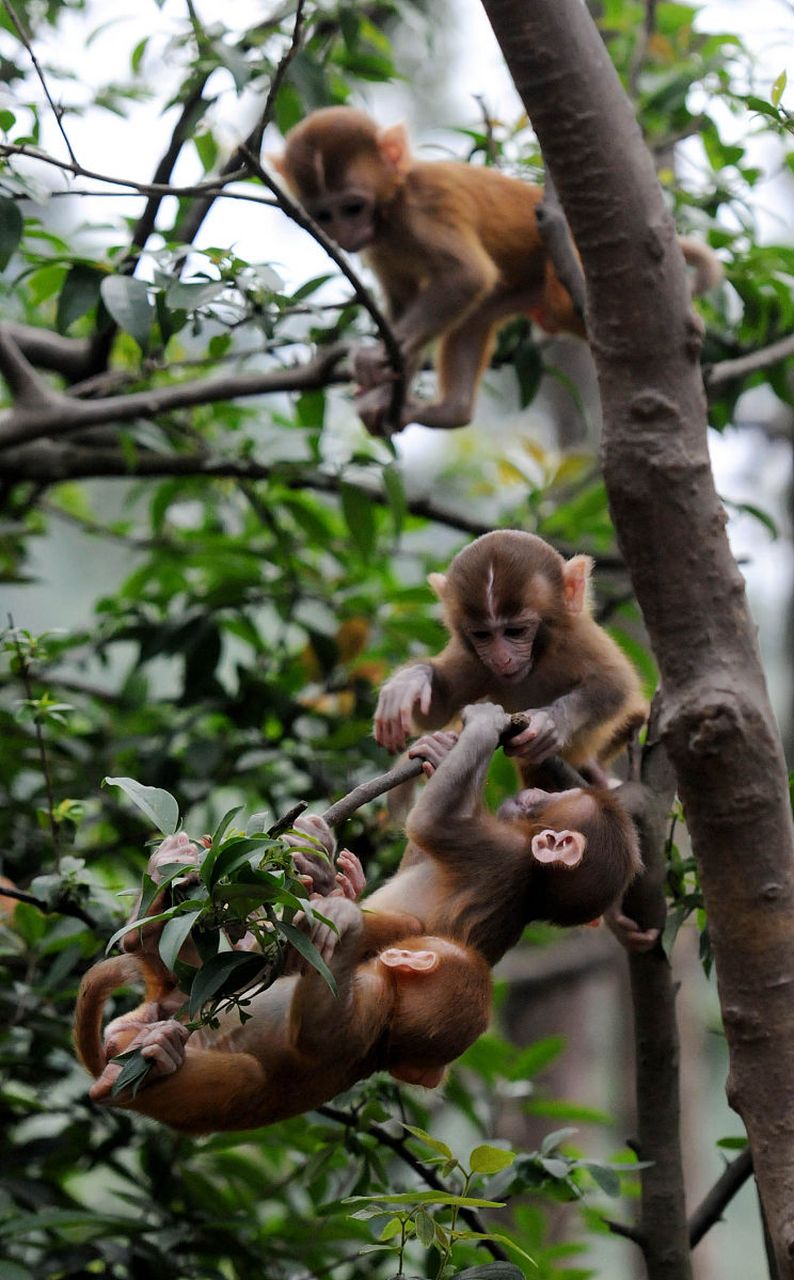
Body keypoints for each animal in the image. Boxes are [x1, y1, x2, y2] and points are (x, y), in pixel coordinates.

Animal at [272, 104, 727, 435]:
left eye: (352, 207)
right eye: (324, 215)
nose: (345, 234)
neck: (390, 208)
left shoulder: (424, 211)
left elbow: (466, 276)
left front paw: (375, 358)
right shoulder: (379, 248)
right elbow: (404, 301)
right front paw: (382, 393)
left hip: (566, 258)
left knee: (556, 303)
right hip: (518, 290)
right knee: (473, 319)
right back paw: (451, 413)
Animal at [376, 529, 648, 788]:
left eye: (515, 631)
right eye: (482, 635)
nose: (502, 659)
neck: (537, 661)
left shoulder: (578, 637)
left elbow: (616, 684)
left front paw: (550, 722)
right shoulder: (474, 661)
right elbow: (438, 709)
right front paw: (409, 682)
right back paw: (438, 750)